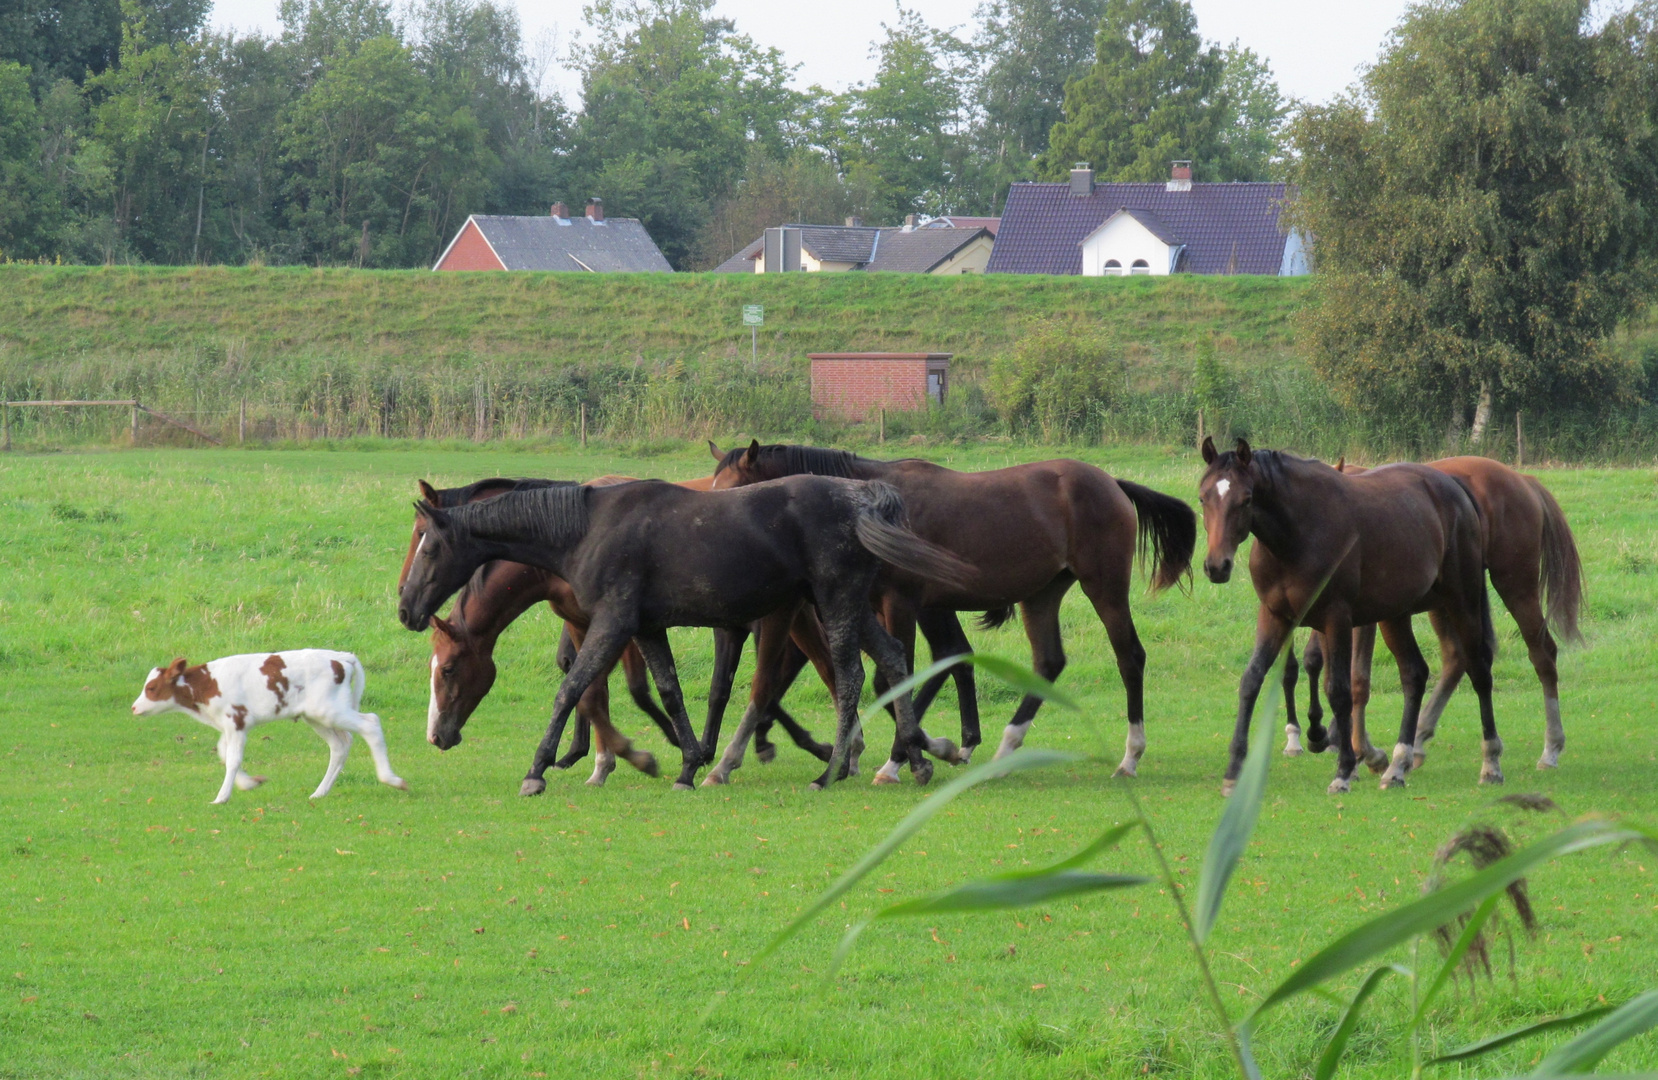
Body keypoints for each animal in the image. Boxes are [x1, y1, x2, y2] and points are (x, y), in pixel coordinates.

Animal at [130, 650, 406, 802]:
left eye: (151, 688)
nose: (134, 707)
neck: (207, 684)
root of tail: (340, 656)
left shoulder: (236, 720)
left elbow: (232, 759)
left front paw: (221, 797)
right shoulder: (231, 725)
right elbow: (224, 752)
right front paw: (250, 783)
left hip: (329, 710)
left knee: (371, 724)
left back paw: (392, 779)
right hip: (316, 716)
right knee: (341, 745)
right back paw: (320, 792)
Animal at [396, 477, 974, 789]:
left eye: (429, 544)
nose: (406, 607)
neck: (586, 529)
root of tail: (860, 498)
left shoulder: (612, 623)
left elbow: (572, 689)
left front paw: (539, 769)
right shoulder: (647, 628)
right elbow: (669, 691)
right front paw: (689, 764)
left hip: (832, 604)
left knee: (850, 676)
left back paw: (832, 769)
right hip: (845, 607)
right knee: (893, 659)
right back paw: (915, 759)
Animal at [709, 444, 1193, 783]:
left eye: (734, 489)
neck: (870, 504)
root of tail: (1110, 481)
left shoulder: (901, 603)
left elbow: (894, 680)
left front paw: (906, 758)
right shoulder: (879, 606)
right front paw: (926, 750)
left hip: (1104, 587)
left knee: (1129, 658)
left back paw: (1130, 756)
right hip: (1041, 596)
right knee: (1048, 662)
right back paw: (1004, 750)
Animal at [1200, 437, 1498, 792]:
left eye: (1246, 499)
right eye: (1203, 497)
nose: (1217, 566)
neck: (1298, 534)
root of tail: (1455, 488)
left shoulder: (1336, 619)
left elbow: (1339, 691)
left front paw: (1343, 770)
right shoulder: (1275, 617)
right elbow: (1251, 681)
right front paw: (1234, 770)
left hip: (1461, 602)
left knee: (1479, 671)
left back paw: (1490, 763)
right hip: (1395, 615)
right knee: (1414, 674)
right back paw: (1397, 765)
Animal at [1279, 457, 1578, 776]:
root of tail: (1523, 480)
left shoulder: (1361, 619)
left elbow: (1357, 679)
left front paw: (1362, 751)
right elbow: (1322, 668)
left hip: (1515, 586)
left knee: (1542, 653)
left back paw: (1551, 748)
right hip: (1447, 602)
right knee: (1457, 657)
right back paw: (1418, 738)